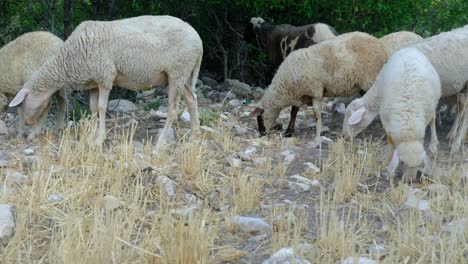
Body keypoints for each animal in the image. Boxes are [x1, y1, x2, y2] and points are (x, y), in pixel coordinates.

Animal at [8, 16, 203, 153]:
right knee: (192, 99)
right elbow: (93, 109)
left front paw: (99, 139)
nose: (27, 122)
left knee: (172, 109)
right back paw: (195, 135)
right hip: (183, 75)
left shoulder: (105, 77)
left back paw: (160, 143)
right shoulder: (93, 83)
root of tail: (198, 39)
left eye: (23, 103)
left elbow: (102, 107)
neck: (68, 60)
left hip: (177, 72)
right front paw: (90, 138)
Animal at [250, 32, 390, 147]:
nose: (262, 134)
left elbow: (316, 115)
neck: (284, 85)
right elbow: (293, 112)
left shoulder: (315, 91)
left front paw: (317, 136)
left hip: (371, 78)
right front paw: (289, 131)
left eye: (259, 118)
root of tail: (380, 45)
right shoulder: (300, 94)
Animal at [342, 25, 466, 153]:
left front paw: (433, 145)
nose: (344, 136)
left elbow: (431, 119)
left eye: (350, 118)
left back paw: (456, 143)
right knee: (462, 108)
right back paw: (453, 135)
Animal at [374, 47, 440, 182]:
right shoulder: (387, 125)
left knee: (433, 121)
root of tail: (409, 48)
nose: (409, 180)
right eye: (402, 162)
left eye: (419, 164)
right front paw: (386, 161)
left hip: (432, 106)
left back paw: (433, 144)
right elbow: (390, 145)